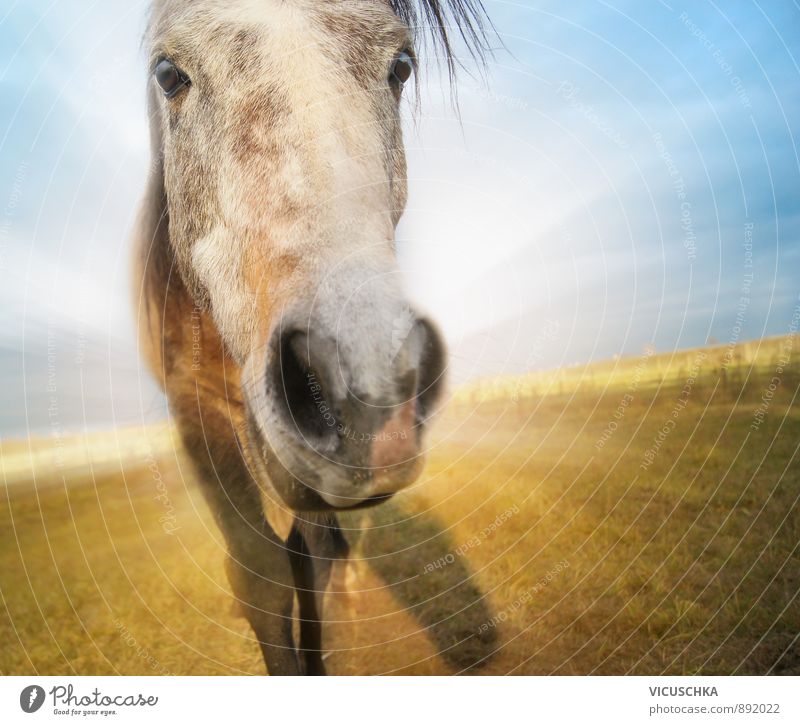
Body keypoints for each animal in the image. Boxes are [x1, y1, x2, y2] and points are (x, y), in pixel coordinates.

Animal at [133, 0, 488, 672]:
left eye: (401, 65)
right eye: (167, 74)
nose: (363, 400)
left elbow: (308, 561)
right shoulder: (191, 405)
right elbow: (261, 574)